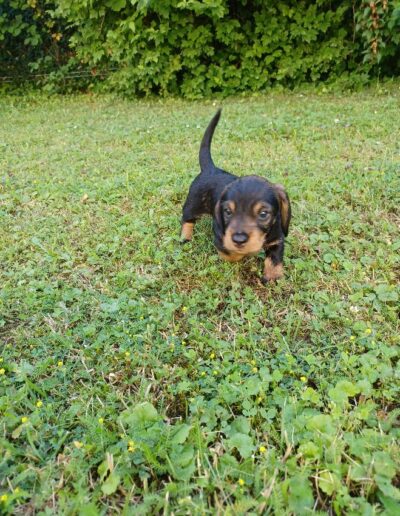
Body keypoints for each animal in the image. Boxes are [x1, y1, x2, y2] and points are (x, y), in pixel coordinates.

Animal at [181, 109, 291, 284]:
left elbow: (274, 259)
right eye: (227, 212)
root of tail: (211, 168)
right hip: (192, 205)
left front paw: (272, 277)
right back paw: (185, 237)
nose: (239, 239)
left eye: (263, 213)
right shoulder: (221, 239)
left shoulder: (277, 239)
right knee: (187, 220)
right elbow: (231, 254)